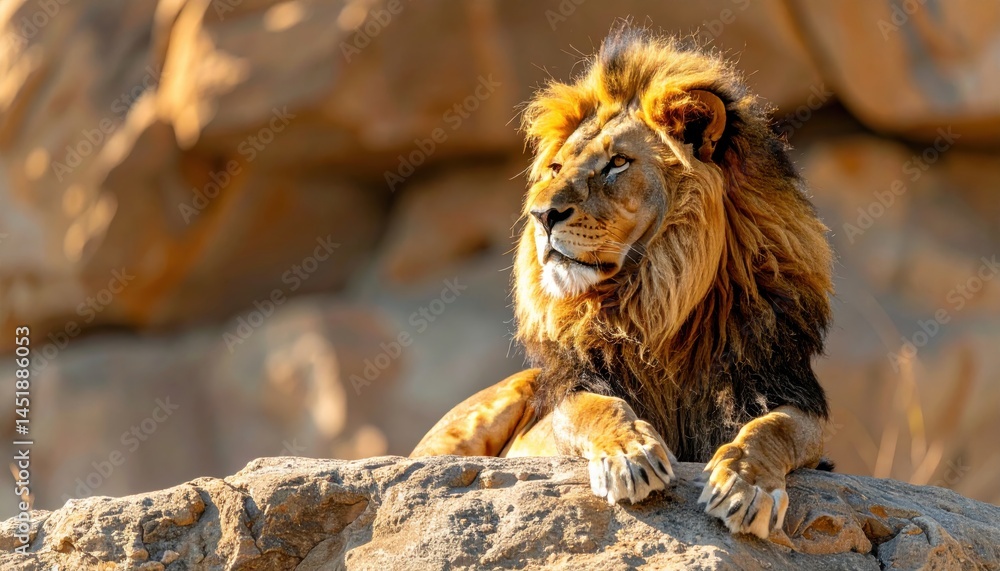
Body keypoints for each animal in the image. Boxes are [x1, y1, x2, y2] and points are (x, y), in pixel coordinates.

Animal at [411, 25, 834, 541]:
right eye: (556, 169)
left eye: (616, 163)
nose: (541, 215)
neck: (658, 303)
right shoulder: (572, 392)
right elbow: (598, 407)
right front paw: (630, 457)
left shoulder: (786, 389)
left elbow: (772, 430)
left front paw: (745, 484)